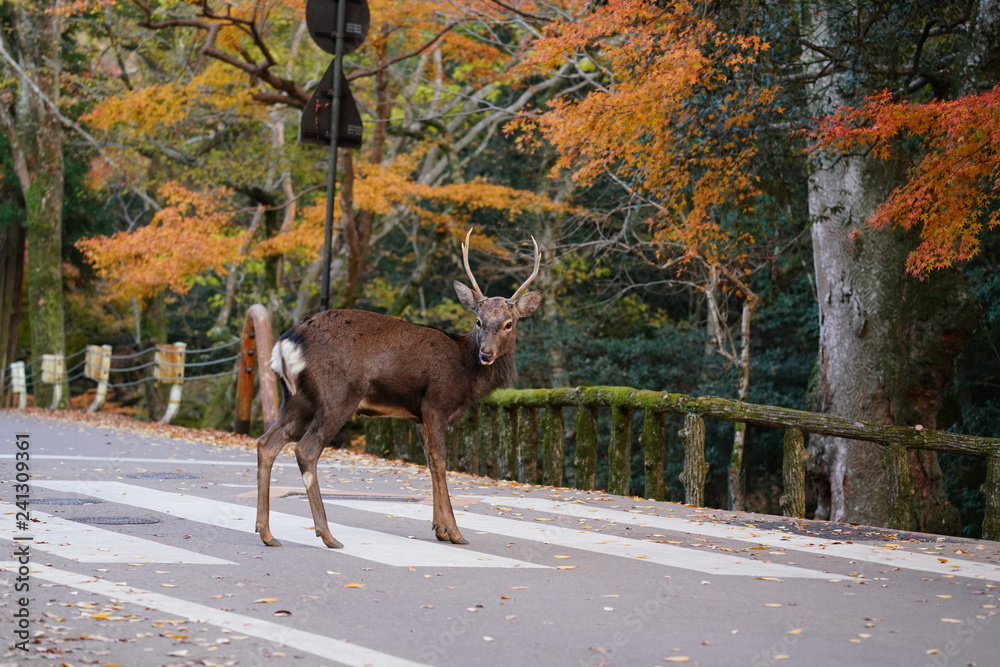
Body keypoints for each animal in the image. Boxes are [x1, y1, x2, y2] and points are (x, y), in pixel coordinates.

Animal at [255, 230, 542, 548]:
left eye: (508, 323)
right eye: (479, 321)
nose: (486, 353)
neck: (466, 373)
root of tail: (286, 343)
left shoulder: (419, 415)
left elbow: (429, 461)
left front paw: (439, 528)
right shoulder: (436, 403)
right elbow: (440, 462)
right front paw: (454, 532)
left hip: (296, 399)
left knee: (266, 444)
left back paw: (267, 533)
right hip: (337, 396)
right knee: (305, 449)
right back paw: (327, 535)